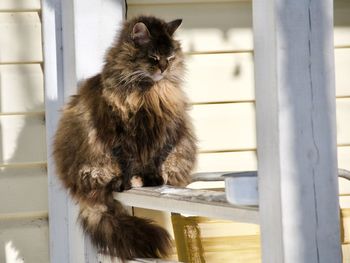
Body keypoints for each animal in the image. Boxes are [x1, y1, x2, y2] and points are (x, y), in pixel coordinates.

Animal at [53, 16, 198, 262]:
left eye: (170, 58)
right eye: (153, 57)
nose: (164, 68)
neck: (147, 92)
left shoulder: (162, 132)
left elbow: (155, 161)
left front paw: (153, 179)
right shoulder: (121, 135)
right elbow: (129, 162)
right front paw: (131, 181)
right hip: (93, 165)